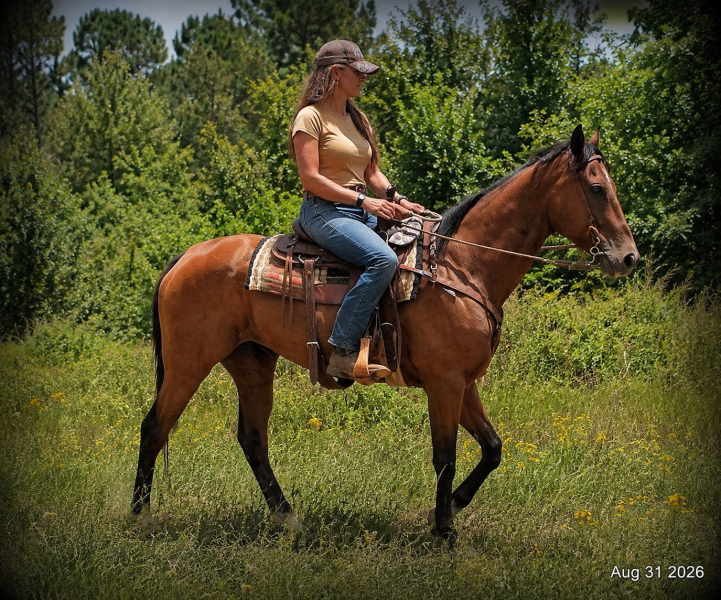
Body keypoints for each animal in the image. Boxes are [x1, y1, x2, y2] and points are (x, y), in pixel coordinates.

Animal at [132, 125, 638, 545]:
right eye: (597, 189)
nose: (628, 257)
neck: (461, 266)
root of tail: (184, 258)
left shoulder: (464, 382)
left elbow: (492, 449)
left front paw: (449, 509)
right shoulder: (444, 382)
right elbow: (445, 456)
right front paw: (445, 532)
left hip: (251, 362)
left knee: (253, 440)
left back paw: (289, 520)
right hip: (188, 362)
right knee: (155, 427)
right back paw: (142, 518)